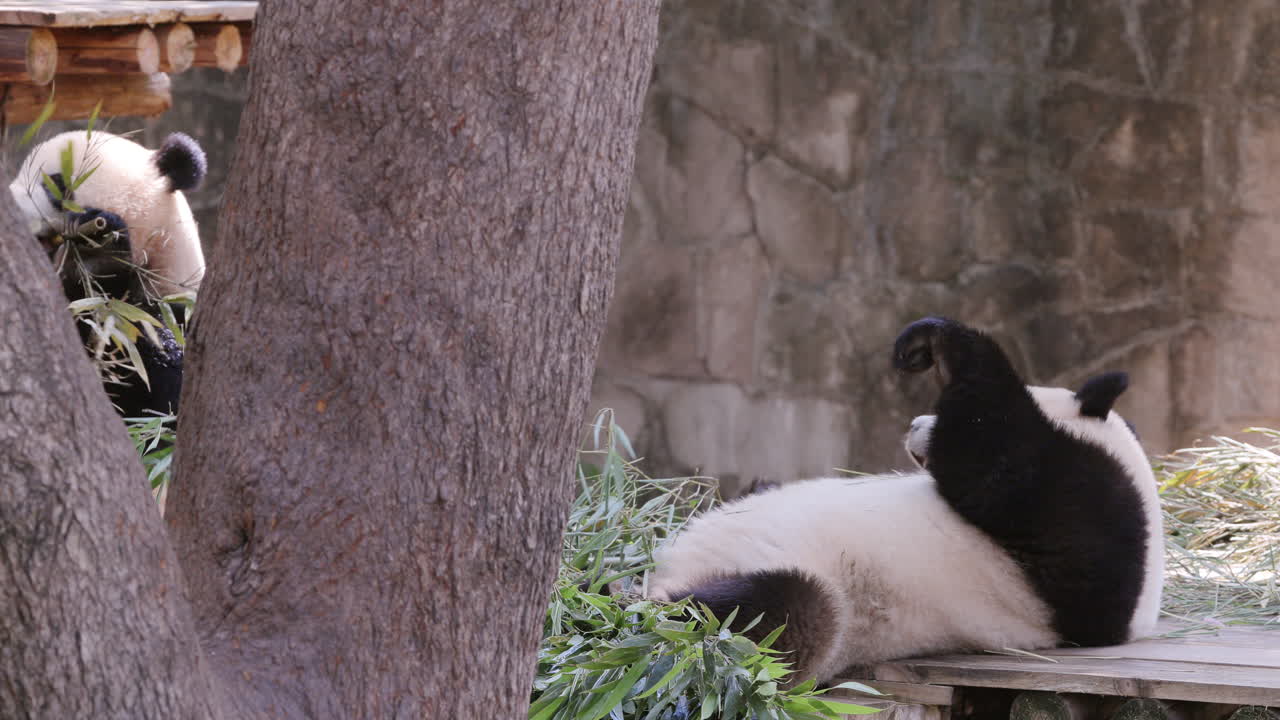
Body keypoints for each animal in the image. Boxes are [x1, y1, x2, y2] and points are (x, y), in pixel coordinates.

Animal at [648, 317, 1163, 684]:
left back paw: (641, 609)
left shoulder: (1080, 515)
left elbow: (993, 453)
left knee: (772, 612)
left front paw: (932, 343)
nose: (914, 424)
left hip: (806, 599)